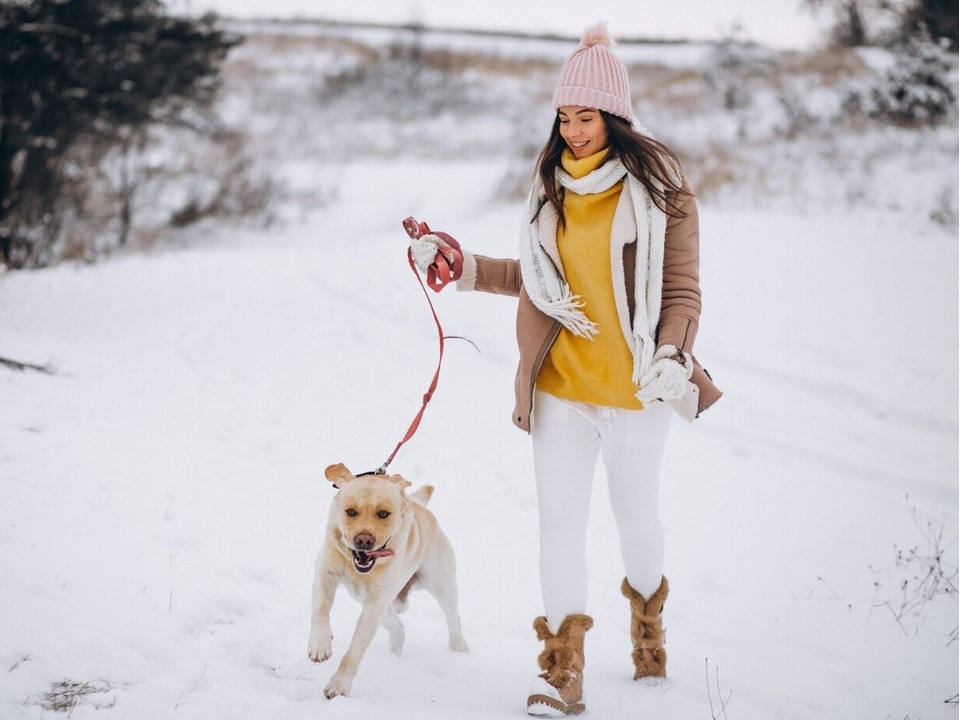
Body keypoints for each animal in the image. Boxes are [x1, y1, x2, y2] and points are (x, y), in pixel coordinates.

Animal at [308, 462, 468, 696]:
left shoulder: (373, 606)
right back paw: (394, 656)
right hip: (380, 608)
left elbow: (354, 651)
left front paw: (339, 685)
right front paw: (320, 645)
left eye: (383, 513)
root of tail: (419, 505)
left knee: (453, 617)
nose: (363, 540)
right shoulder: (325, 573)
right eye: (351, 512)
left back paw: (459, 648)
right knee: (399, 629)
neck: (357, 567)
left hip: (441, 585)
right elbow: (320, 610)